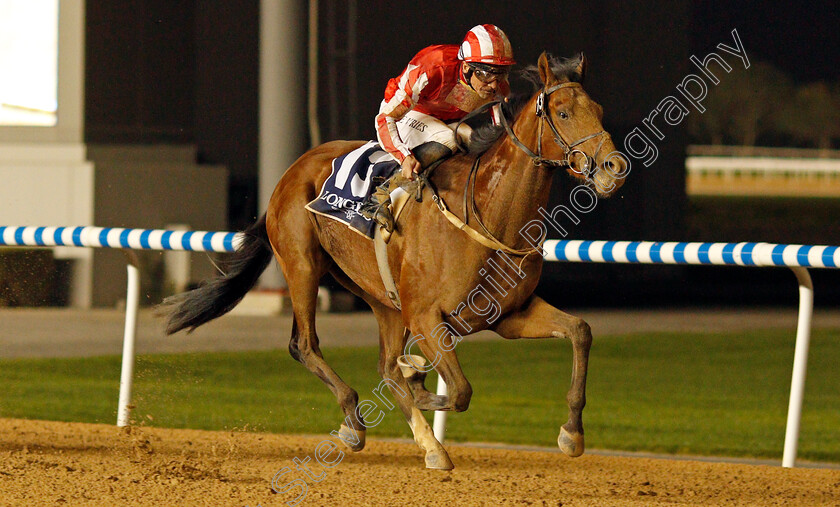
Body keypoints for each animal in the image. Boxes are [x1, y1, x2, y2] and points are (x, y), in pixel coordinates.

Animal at [164, 53, 628, 470]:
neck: (489, 211)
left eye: (600, 111)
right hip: (303, 265)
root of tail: (289, 173)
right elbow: (458, 391)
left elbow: (580, 331)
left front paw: (572, 433)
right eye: (564, 112)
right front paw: (418, 376)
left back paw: (427, 444)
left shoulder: (509, 315)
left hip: (381, 297)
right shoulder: (425, 317)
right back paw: (358, 421)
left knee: (384, 365)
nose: (614, 166)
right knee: (305, 344)